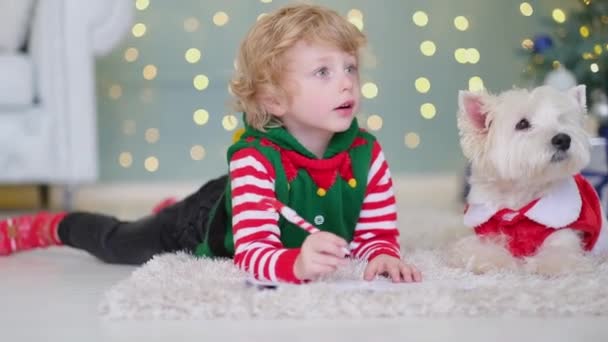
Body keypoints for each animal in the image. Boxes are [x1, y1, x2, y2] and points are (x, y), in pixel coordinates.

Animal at [448, 85, 608, 276]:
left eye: (561, 120)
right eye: (522, 124)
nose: (563, 139)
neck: (520, 194)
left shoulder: (565, 231)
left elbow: (561, 252)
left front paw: (548, 265)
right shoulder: (485, 230)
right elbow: (480, 249)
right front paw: (494, 262)